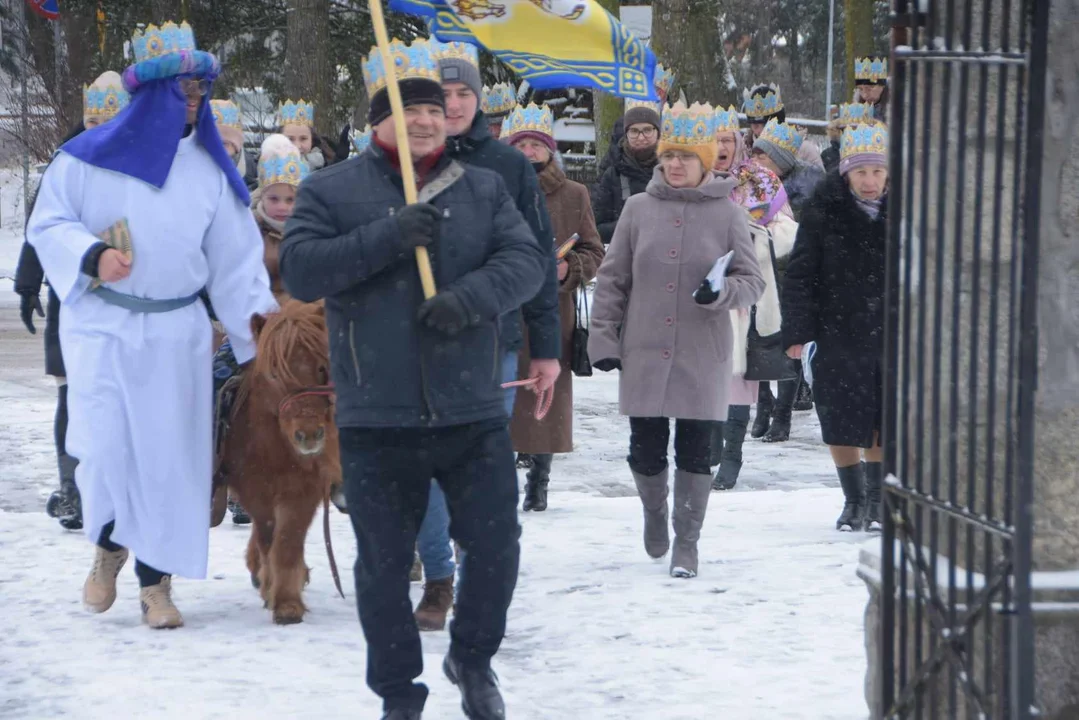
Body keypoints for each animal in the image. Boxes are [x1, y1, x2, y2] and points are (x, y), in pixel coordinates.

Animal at [216, 300, 338, 626]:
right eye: (274, 373)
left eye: (322, 366)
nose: (308, 435)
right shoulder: (255, 492)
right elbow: (269, 536)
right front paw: (271, 587)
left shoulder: (304, 491)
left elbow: (287, 542)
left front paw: (286, 602)